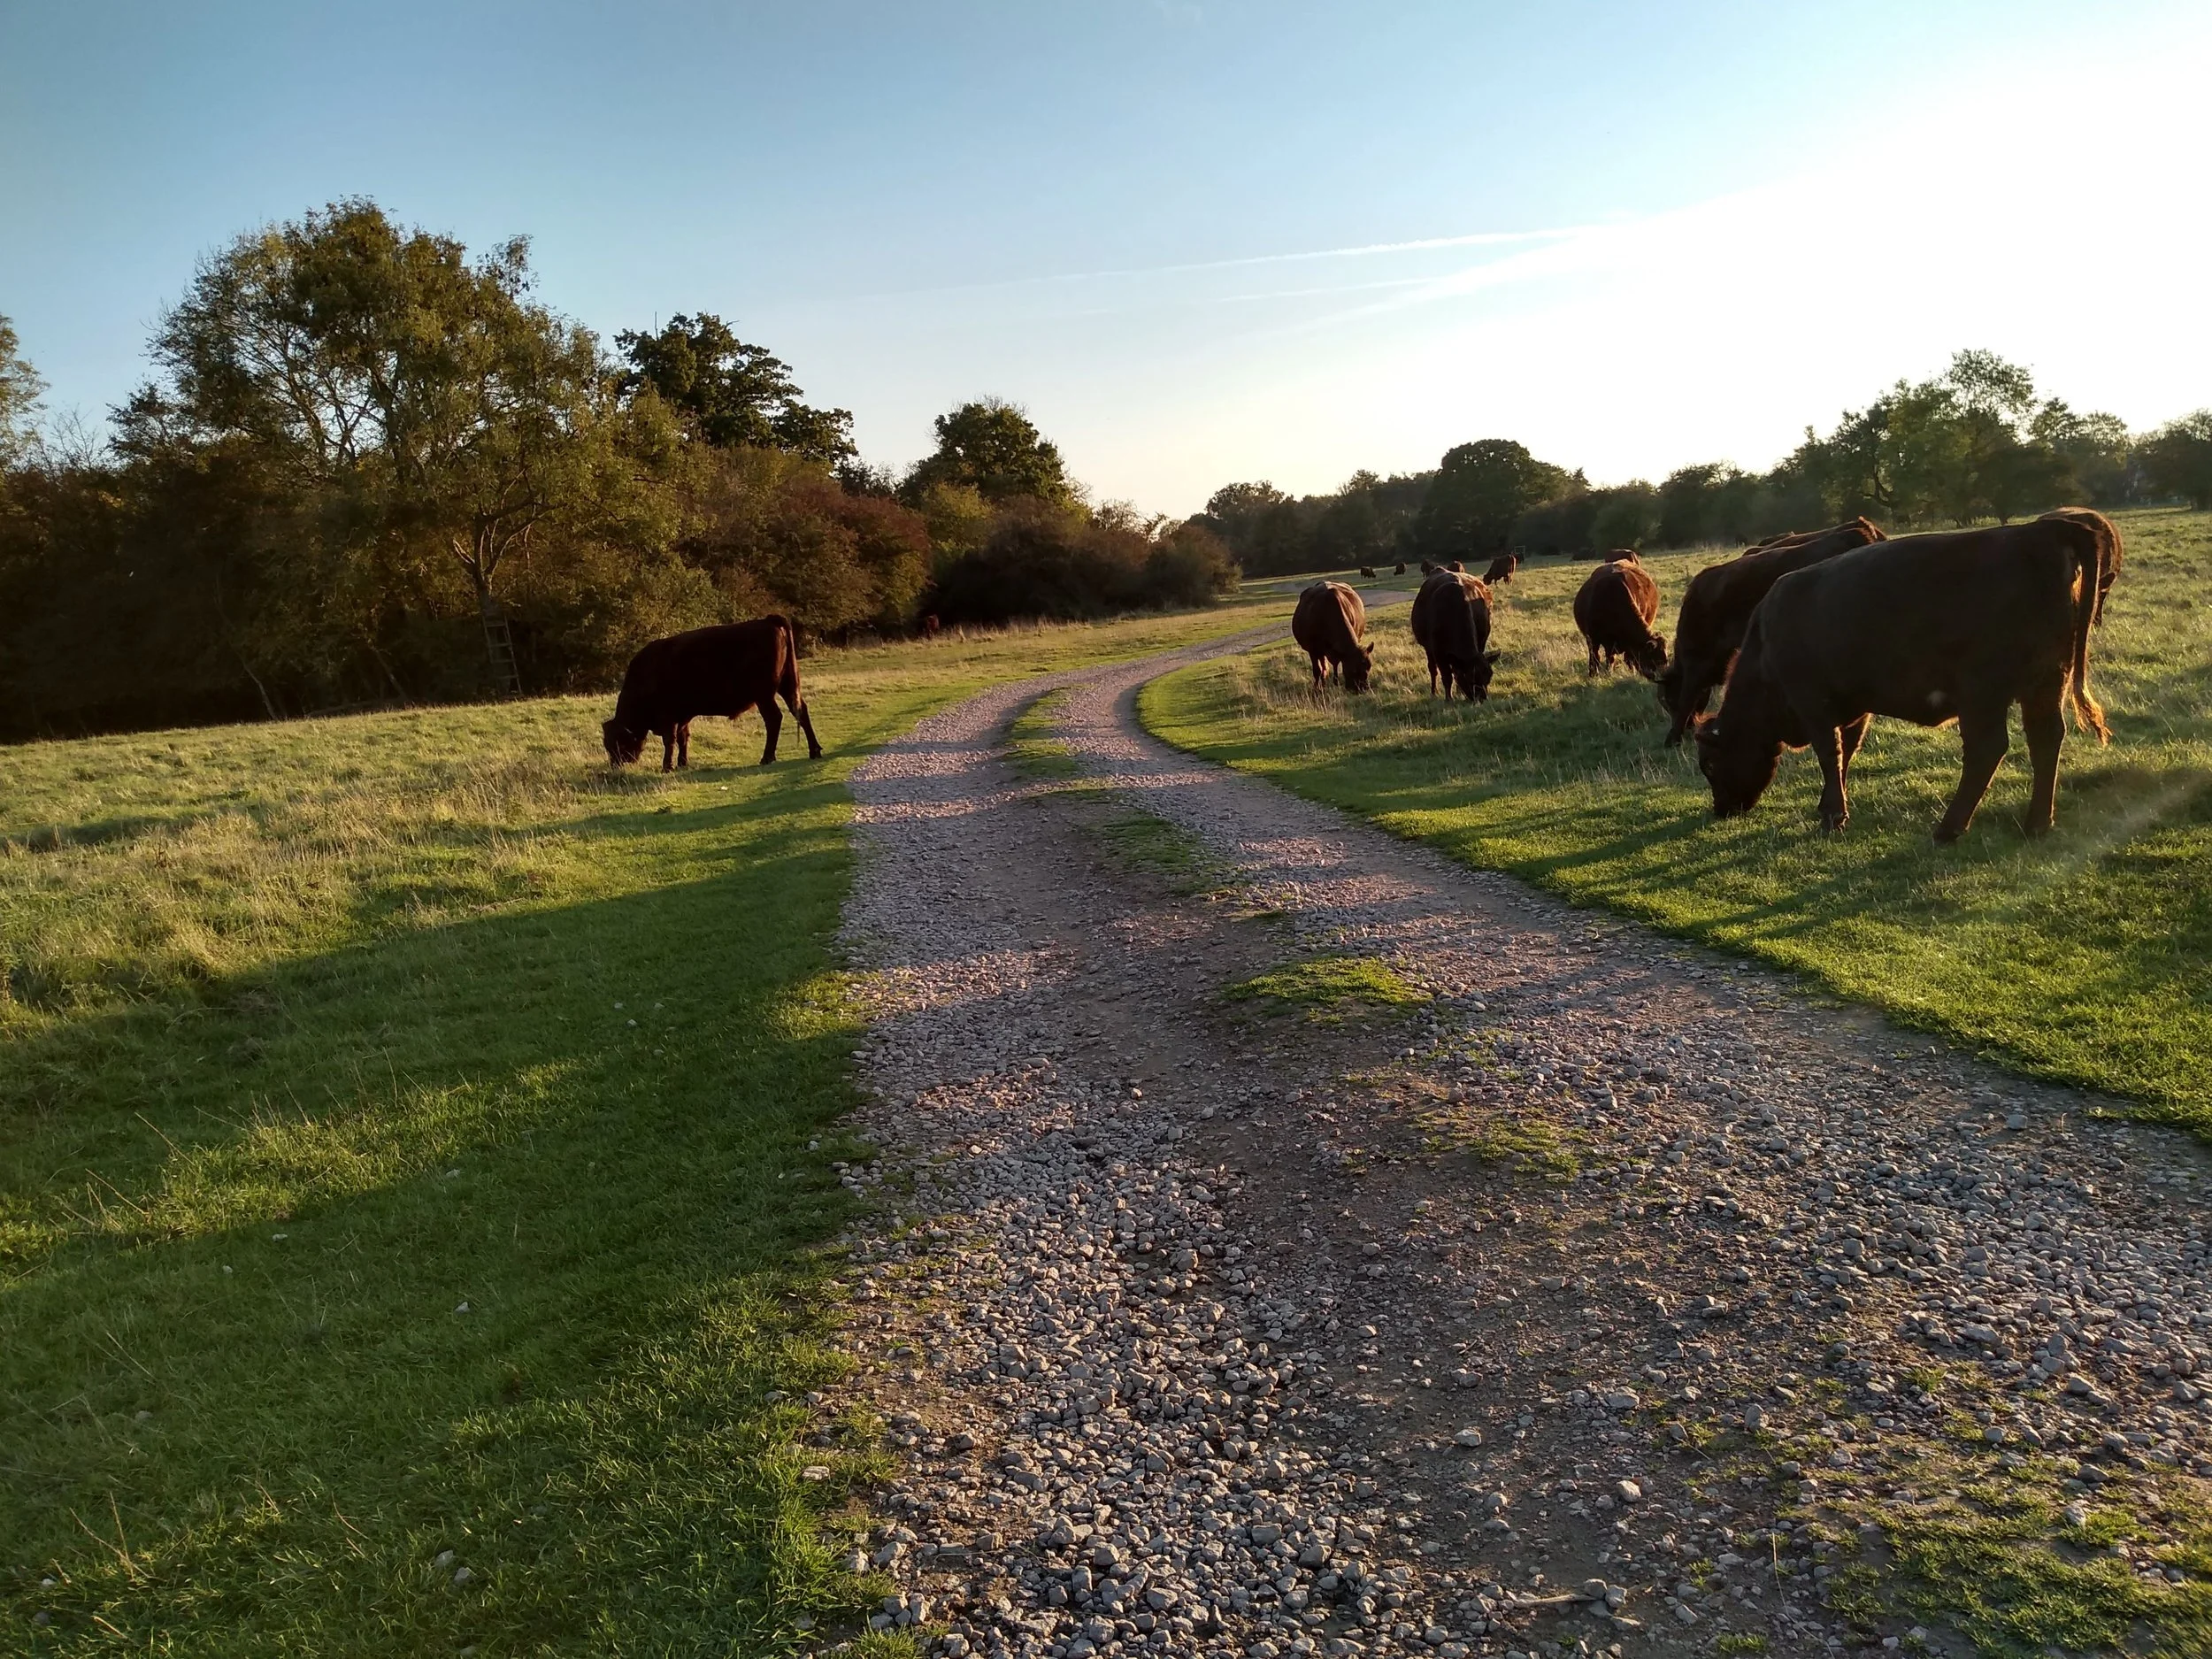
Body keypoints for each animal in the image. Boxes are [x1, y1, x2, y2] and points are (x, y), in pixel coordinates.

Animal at [603, 616, 823, 771]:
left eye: (616, 743)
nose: (616, 765)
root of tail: (769, 620)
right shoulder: (683, 716)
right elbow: (683, 737)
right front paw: (682, 763)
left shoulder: (668, 717)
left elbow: (670, 740)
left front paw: (667, 766)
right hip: (786, 687)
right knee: (800, 711)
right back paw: (814, 751)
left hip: (764, 696)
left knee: (774, 719)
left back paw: (767, 757)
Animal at [1410, 569, 1499, 701]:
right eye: (1469, 678)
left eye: (1489, 676)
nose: (1482, 699)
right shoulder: (1439, 652)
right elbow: (1446, 677)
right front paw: (1449, 699)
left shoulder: (1480, 645)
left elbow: (1455, 673)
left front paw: (1458, 693)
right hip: (1428, 648)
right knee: (1433, 669)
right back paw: (1434, 692)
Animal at [1694, 516, 2116, 842]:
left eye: (1710, 766)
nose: (1722, 809)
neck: (1765, 644)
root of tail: (2042, 530)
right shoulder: (1855, 707)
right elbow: (1846, 752)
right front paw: (1830, 805)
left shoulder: (1813, 703)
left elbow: (1830, 754)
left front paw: (1832, 816)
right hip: (2045, 683)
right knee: (2045, 739)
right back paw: (2036, 824)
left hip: (1983, 693)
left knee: (1987, 749)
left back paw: (1949, 828)